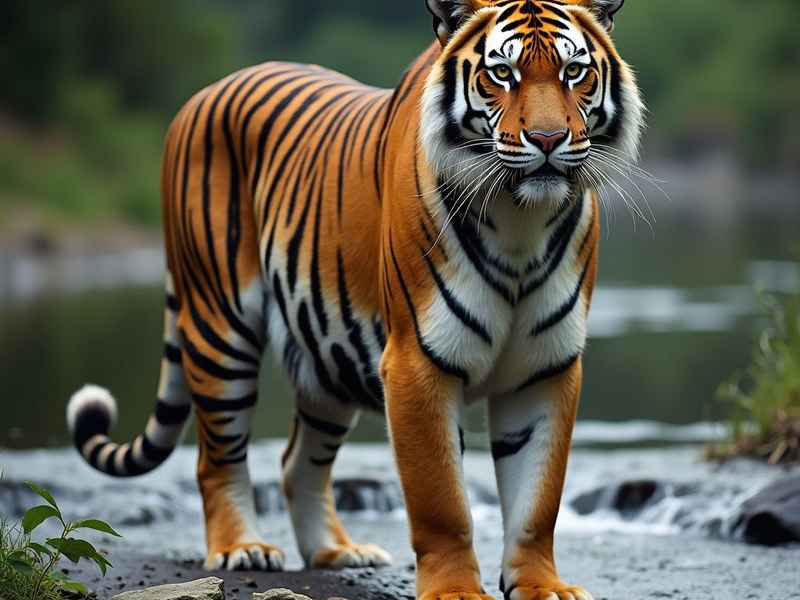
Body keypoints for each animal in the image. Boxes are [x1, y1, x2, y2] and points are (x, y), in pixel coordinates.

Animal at [66, 1, 643, 598]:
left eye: (573, 72)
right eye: (501, 73)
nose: (549, 139)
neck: (520, 220)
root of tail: (200, 97)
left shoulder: (545, 368)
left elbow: (537, 500)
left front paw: (544, 586)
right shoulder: (415, 362)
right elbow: (442, 500)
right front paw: (455, 589)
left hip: (328, 356)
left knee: (297, 463)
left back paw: (335, 551)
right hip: (221, 327)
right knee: (216, 457)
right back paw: (242, 547)